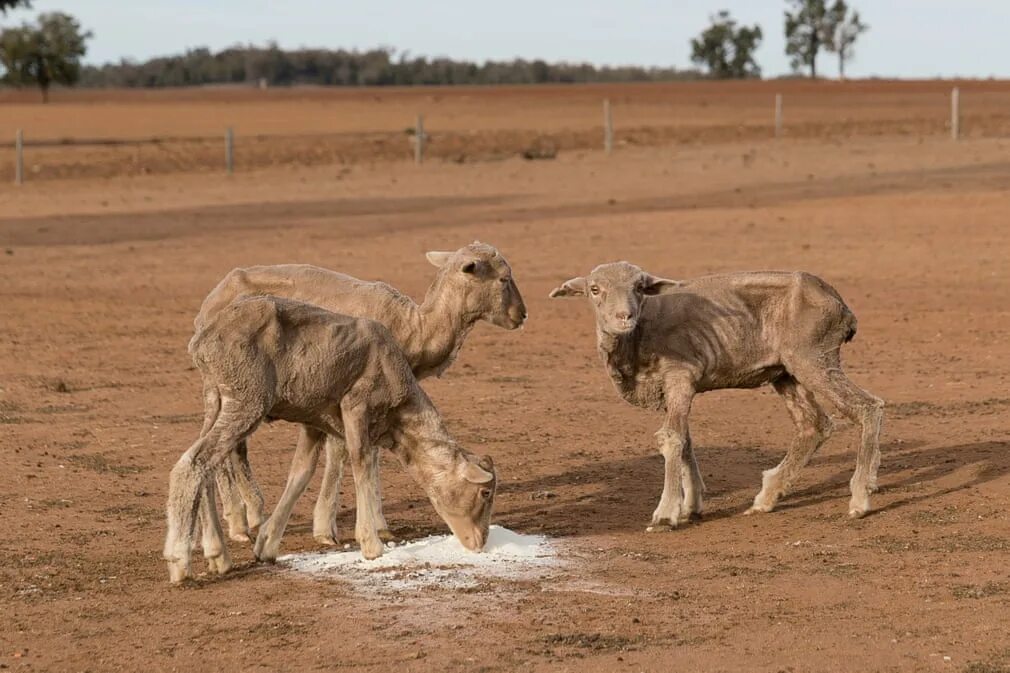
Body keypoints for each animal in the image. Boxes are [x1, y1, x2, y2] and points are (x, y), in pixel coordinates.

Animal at [165, 295, 496, 582]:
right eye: (485, 493)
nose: (480, 543)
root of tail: (203, 339)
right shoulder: (355, 405)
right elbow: (361, 464)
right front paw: (371, 545)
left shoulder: (313, 421)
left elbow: (300, 474)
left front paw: (267, 545)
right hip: (247, 399)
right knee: (193, 463)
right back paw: (179, 561)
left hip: (216, 398)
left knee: (206, 468)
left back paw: (217, 555)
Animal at [194, 241, 529, 545]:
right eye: (503, 278)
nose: (522, 315)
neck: (417, 327)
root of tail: (209, 306)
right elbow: (343, 454)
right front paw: (330, 529)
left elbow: (370, 452)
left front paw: (375, 526)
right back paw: (241, 522)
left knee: (231, 447)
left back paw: (243, 517)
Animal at [553, 262, 884, 525]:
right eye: (595, 289)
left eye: (639, 288)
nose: (624, 316)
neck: (638, 337)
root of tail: (840, 305)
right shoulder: (672, 390)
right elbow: (685, 442)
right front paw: (691, 506)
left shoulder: (680, 376)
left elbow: (671, 439)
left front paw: (666, 514)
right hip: (785, 371)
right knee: (814, 425)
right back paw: (766, 497)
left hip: (813, 357)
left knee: (868, 407)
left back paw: (859, 498)